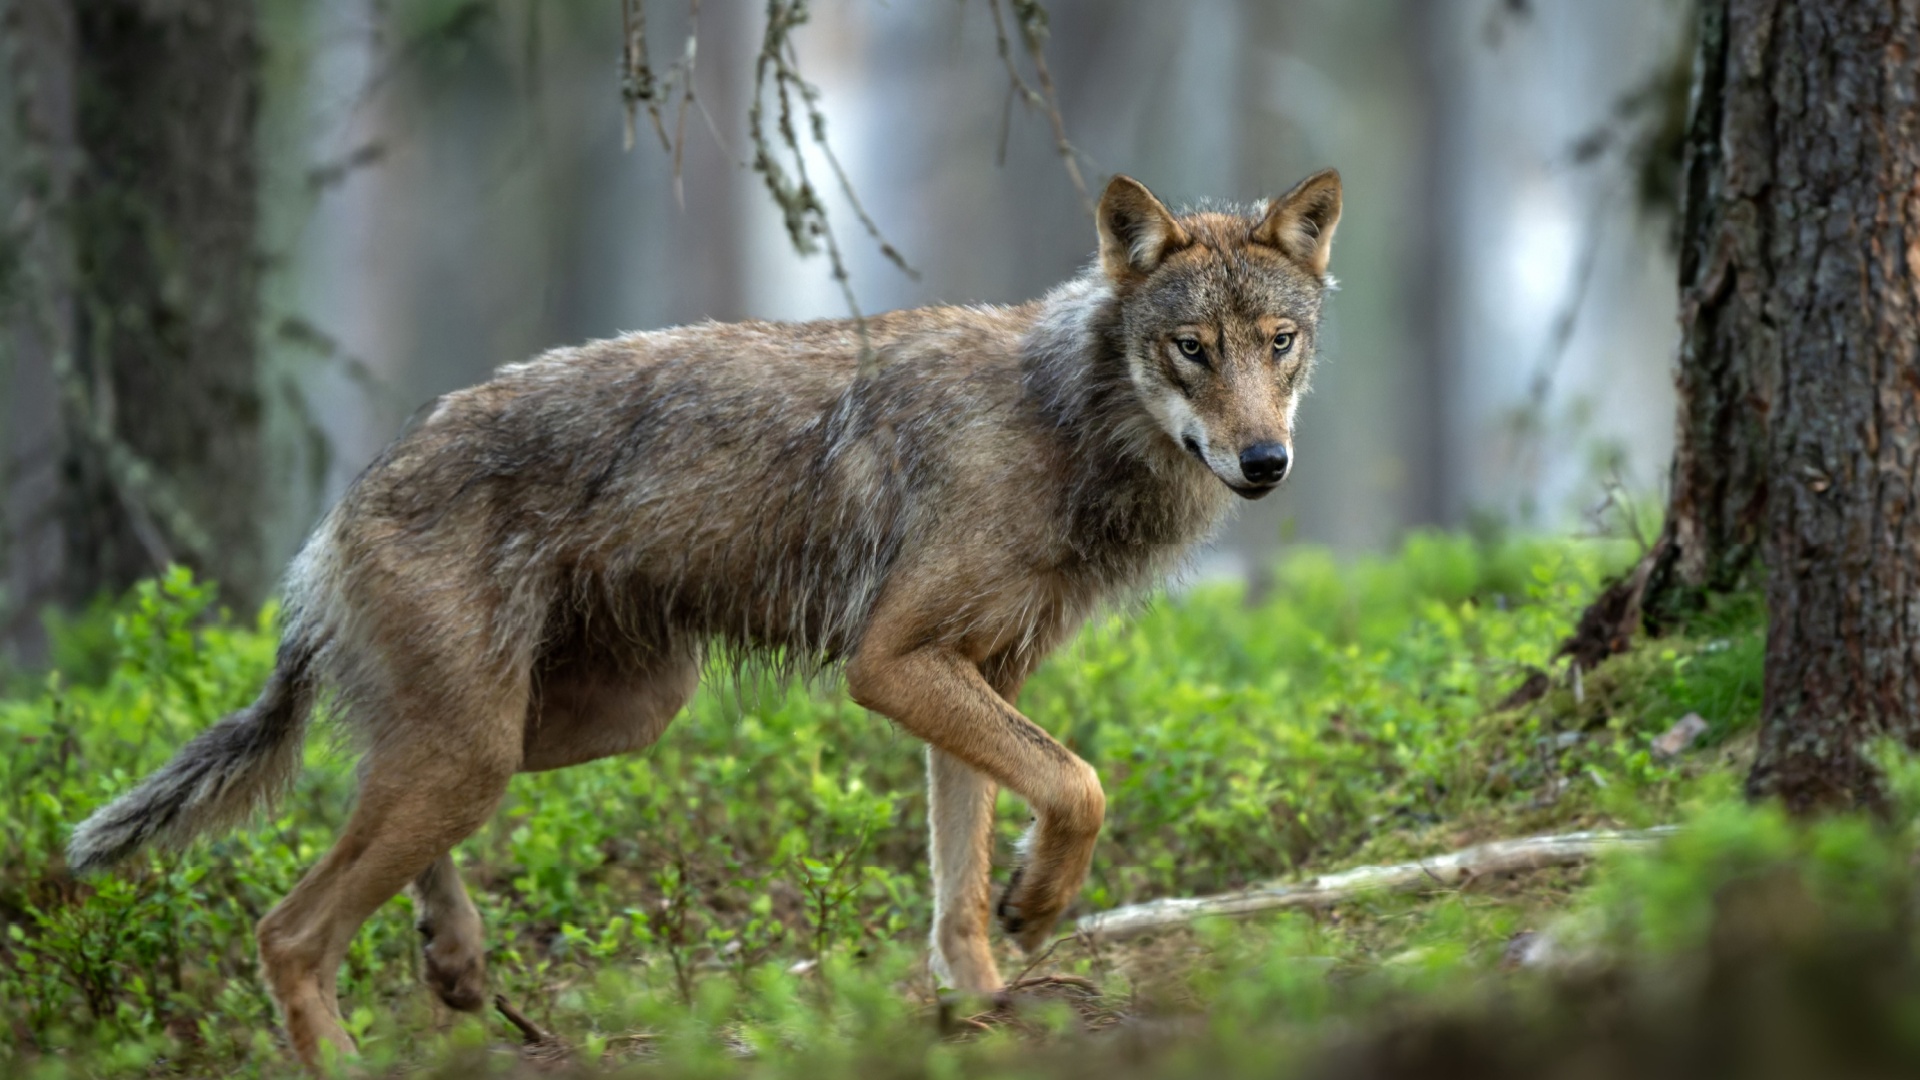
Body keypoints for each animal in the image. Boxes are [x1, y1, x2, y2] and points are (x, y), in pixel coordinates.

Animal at [67, 169, 1341, 1065]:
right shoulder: (892, 664)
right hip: (479, 750)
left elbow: (961, 879)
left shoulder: (984, 676)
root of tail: (339, 510)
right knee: (290, 930)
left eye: (1279, 345)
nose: (1265, 462)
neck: (1061, 420)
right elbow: (1080, 785)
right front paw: (1036, 908)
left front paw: (987, 993)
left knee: (359, 814)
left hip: (580, 725)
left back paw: (457, 961)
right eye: (1191, 350)